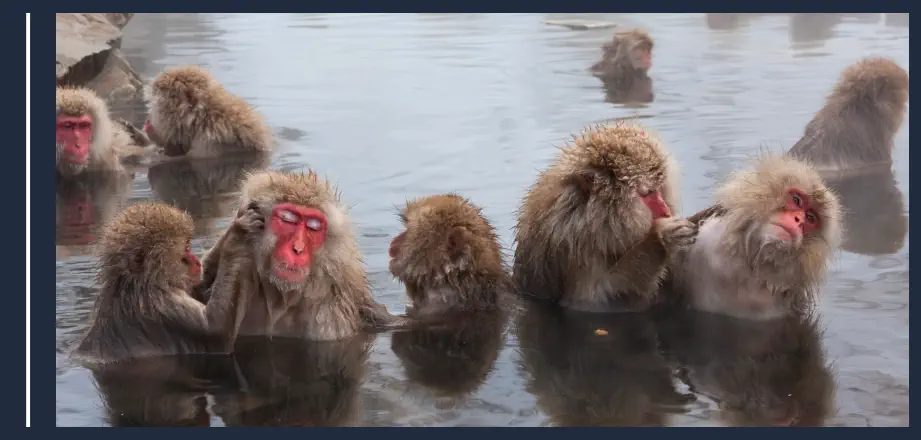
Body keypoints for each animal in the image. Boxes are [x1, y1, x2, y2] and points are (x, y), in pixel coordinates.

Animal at [71, 202, 259, 364]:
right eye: (185, 251)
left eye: (188, 245)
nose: (195, 261)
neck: (139, 286)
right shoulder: (162, 306)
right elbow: (218, 329)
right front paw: (239, 230)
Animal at [196, 170, 409, 341]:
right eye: (288, 220)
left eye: (313, 227)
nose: (297, 249)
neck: (280, 299)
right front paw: (237, 230)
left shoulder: (329, 316)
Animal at [512, 122, 695, 312]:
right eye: (648, 194)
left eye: (660, 188)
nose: (666, 211)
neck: (596, 225)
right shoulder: (573, 246)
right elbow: (597, 299)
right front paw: (661, 237)